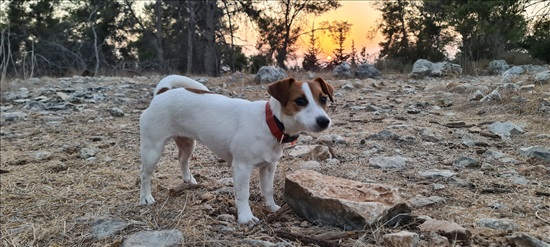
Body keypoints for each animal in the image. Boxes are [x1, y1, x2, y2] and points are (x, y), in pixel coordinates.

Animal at [140, 75, 334, 224]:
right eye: (300, 101)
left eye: (323, 99)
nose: (324, 121)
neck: (270, 122)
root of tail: (163, 92)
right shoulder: (242, 168)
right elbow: (243, 194)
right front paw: (246, 217)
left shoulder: (268, 167)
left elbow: (268, 190)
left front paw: (272, 208)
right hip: (153, 149)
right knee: (145, 175)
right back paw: (146, 198)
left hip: (188, 143)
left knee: (182, 158)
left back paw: (189, 180)